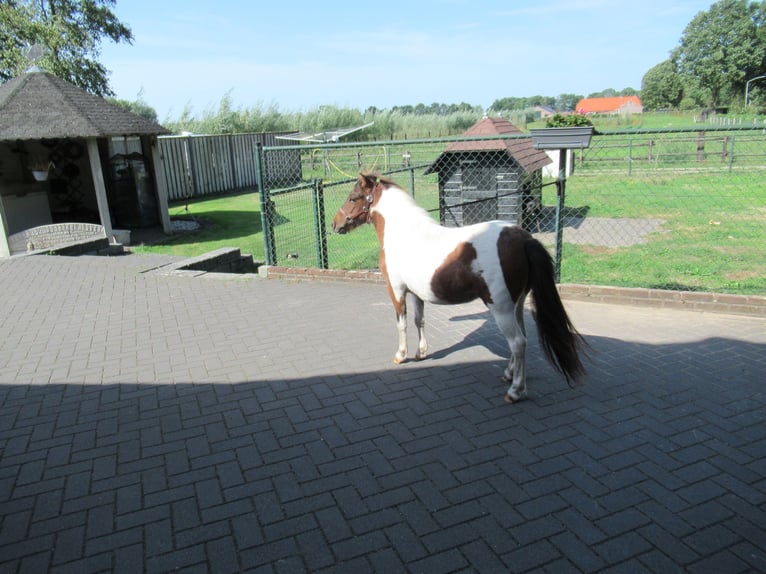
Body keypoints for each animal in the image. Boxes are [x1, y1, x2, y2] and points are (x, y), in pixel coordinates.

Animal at [332, 172, 585, 404]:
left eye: (353, 197)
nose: (335, 223)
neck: (404, 233)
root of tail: (524, 239)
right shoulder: (416, 294)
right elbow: (419, 321)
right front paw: (421, 352)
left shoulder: (396, 291)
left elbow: (401, 324)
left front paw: (401, 355)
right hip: (517, 304)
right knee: (521, 338)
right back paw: (509, 374)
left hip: (501, 308)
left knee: (517, 343)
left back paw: (515, 391)